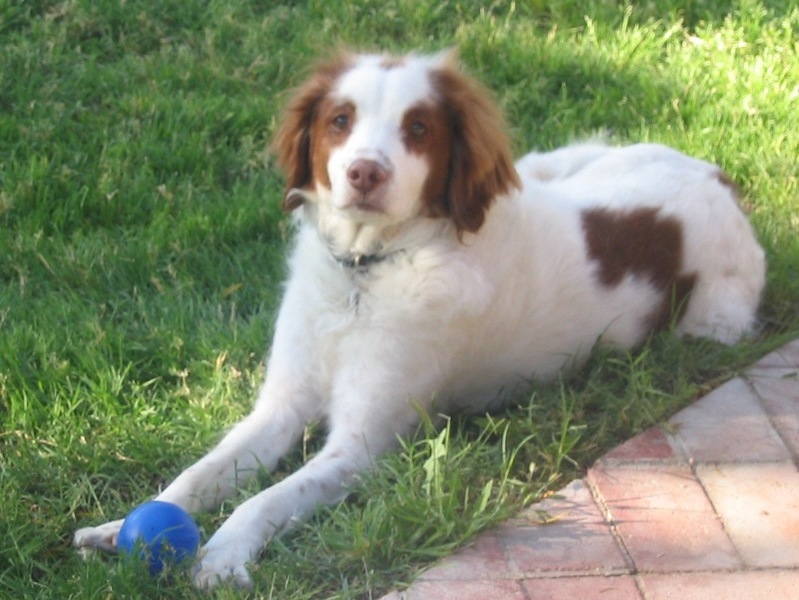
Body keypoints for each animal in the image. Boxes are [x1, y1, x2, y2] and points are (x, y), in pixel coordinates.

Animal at [75, 49, 768, 588]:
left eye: (419, 128)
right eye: (340, 120)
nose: (364, 171)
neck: (366, 271)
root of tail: (720, 176)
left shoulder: (363, 443)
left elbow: (268, 498)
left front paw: (222, 555)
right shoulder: (281, 405)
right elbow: (199, 473)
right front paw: (122, 525)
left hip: (710, 326)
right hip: (550, 163)